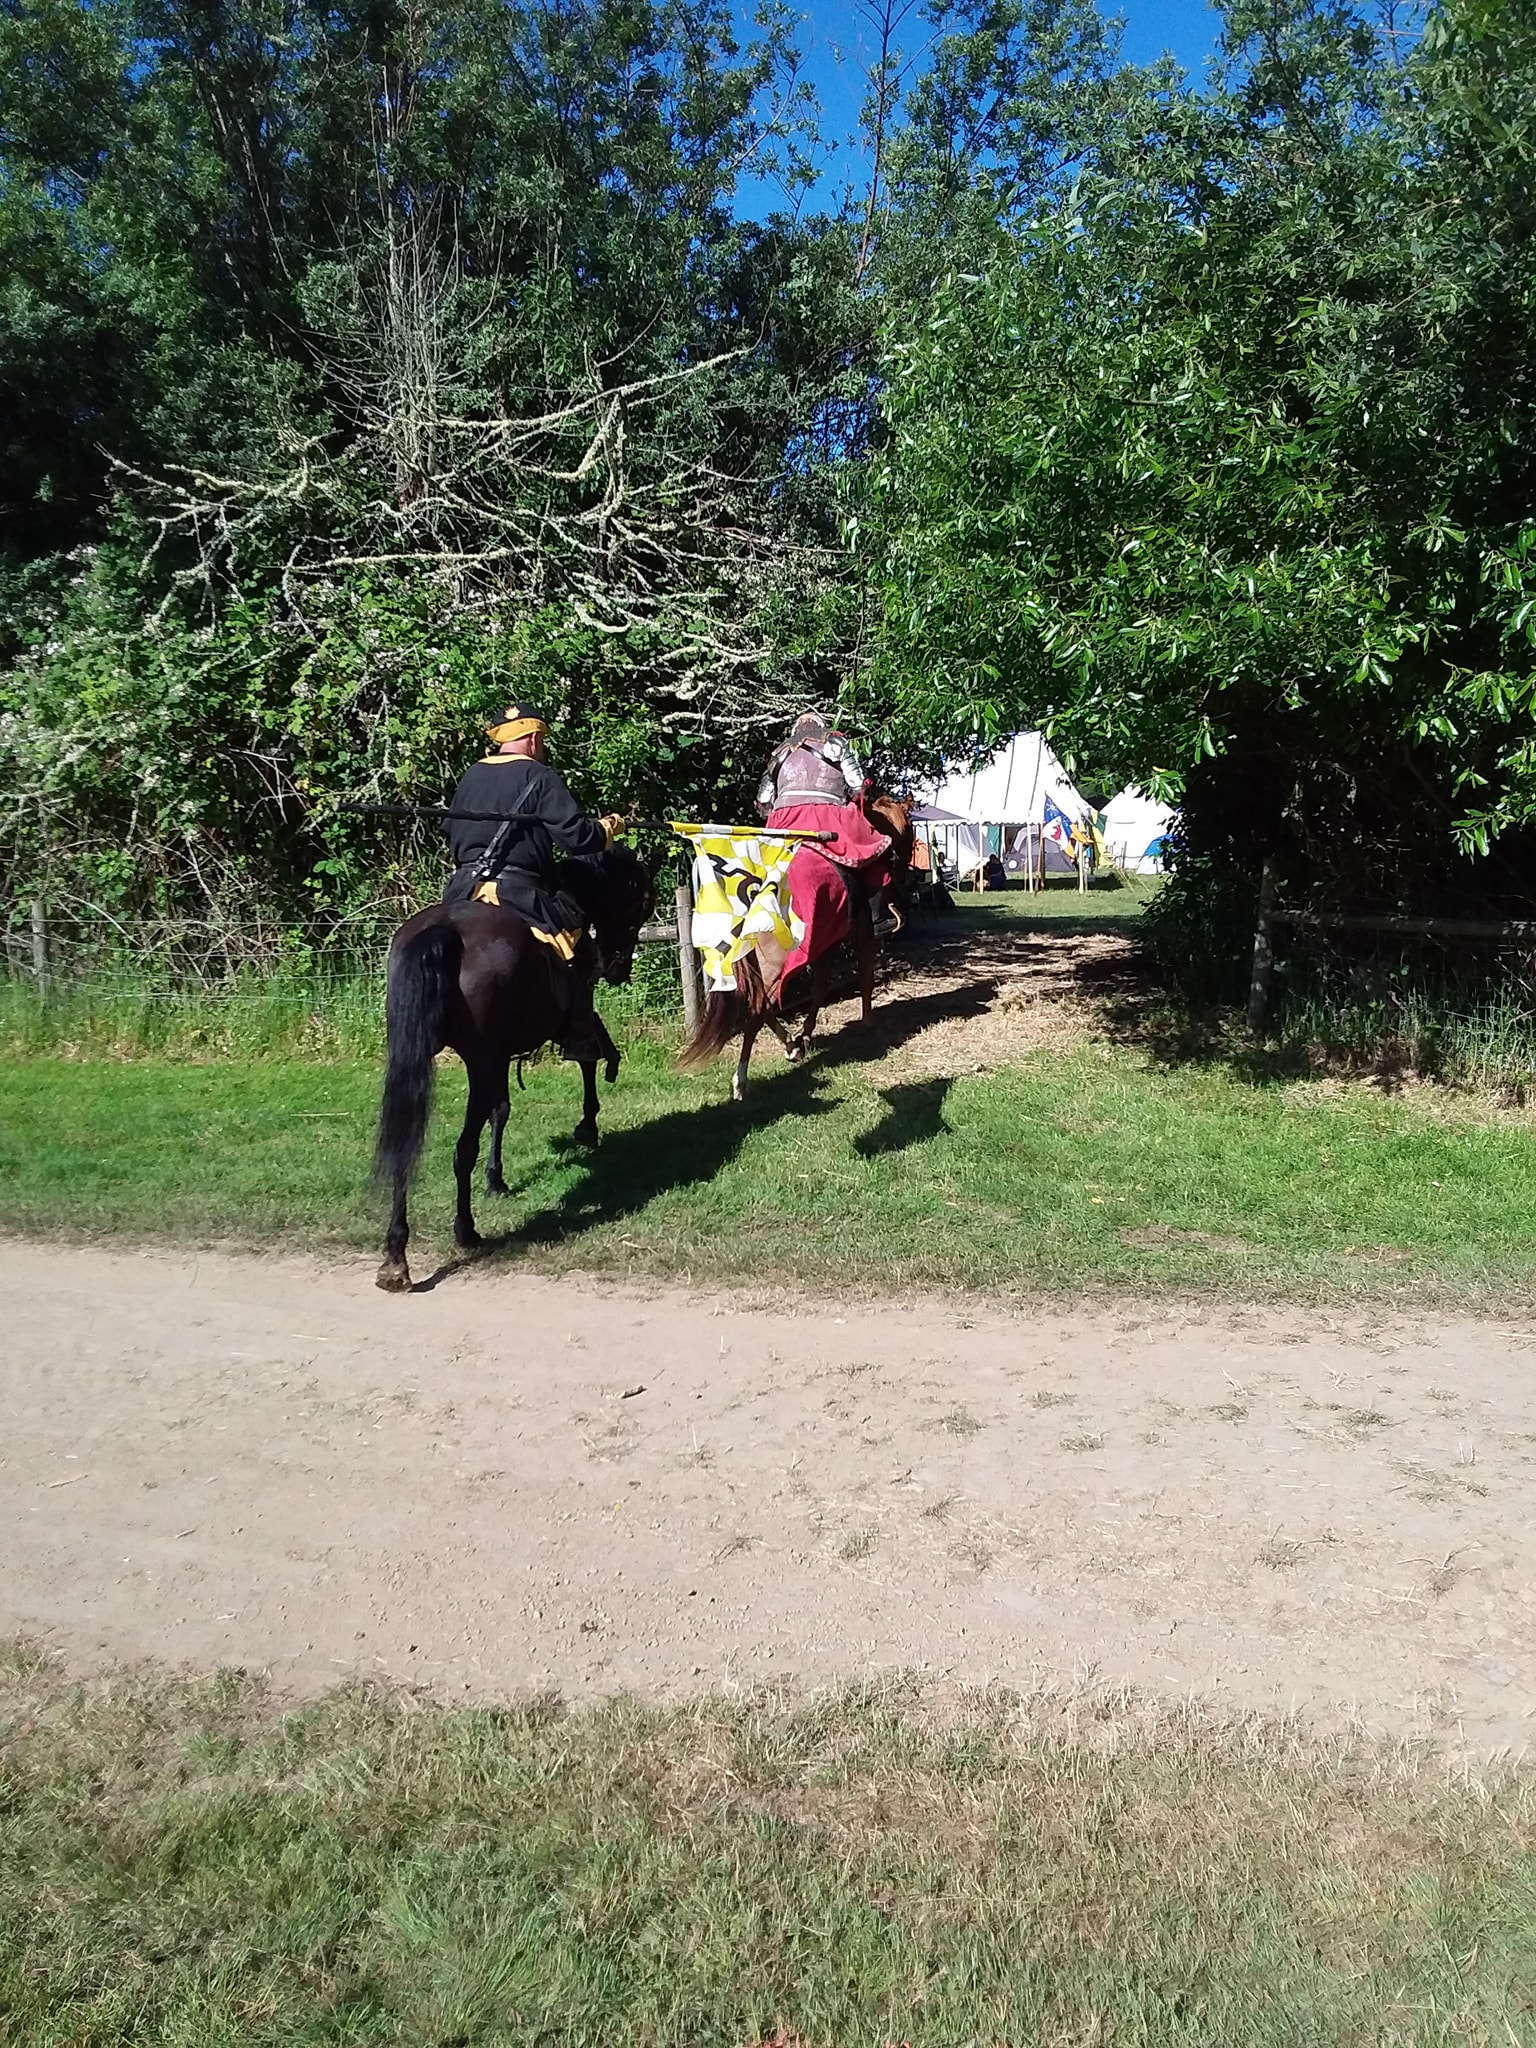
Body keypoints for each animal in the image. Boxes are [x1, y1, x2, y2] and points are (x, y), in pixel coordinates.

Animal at [372, 845, 654, 1293]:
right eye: (642, 904)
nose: (617, 967)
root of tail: (443, 933)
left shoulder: (498, 1053)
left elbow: (500, 1110)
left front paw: (496, 1179)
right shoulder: (569, 1015)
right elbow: (588, 1057)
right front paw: (588, 1125)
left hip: (418, 1057)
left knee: (404, 1141)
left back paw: (396, 1257)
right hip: (476, 1060)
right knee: (461, 1150)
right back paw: (466, 1231)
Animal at [677, 793, 914, 1100]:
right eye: (911, 832)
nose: (907, 875)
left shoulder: (823, 943)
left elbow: (820, 987)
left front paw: (806, 1034)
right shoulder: (864, 937)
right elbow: (863, 979)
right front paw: (868, 1023)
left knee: (760, 1006)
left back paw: (789, 1046)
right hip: (774, 963)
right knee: (759, 1007)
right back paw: (743, 1078)